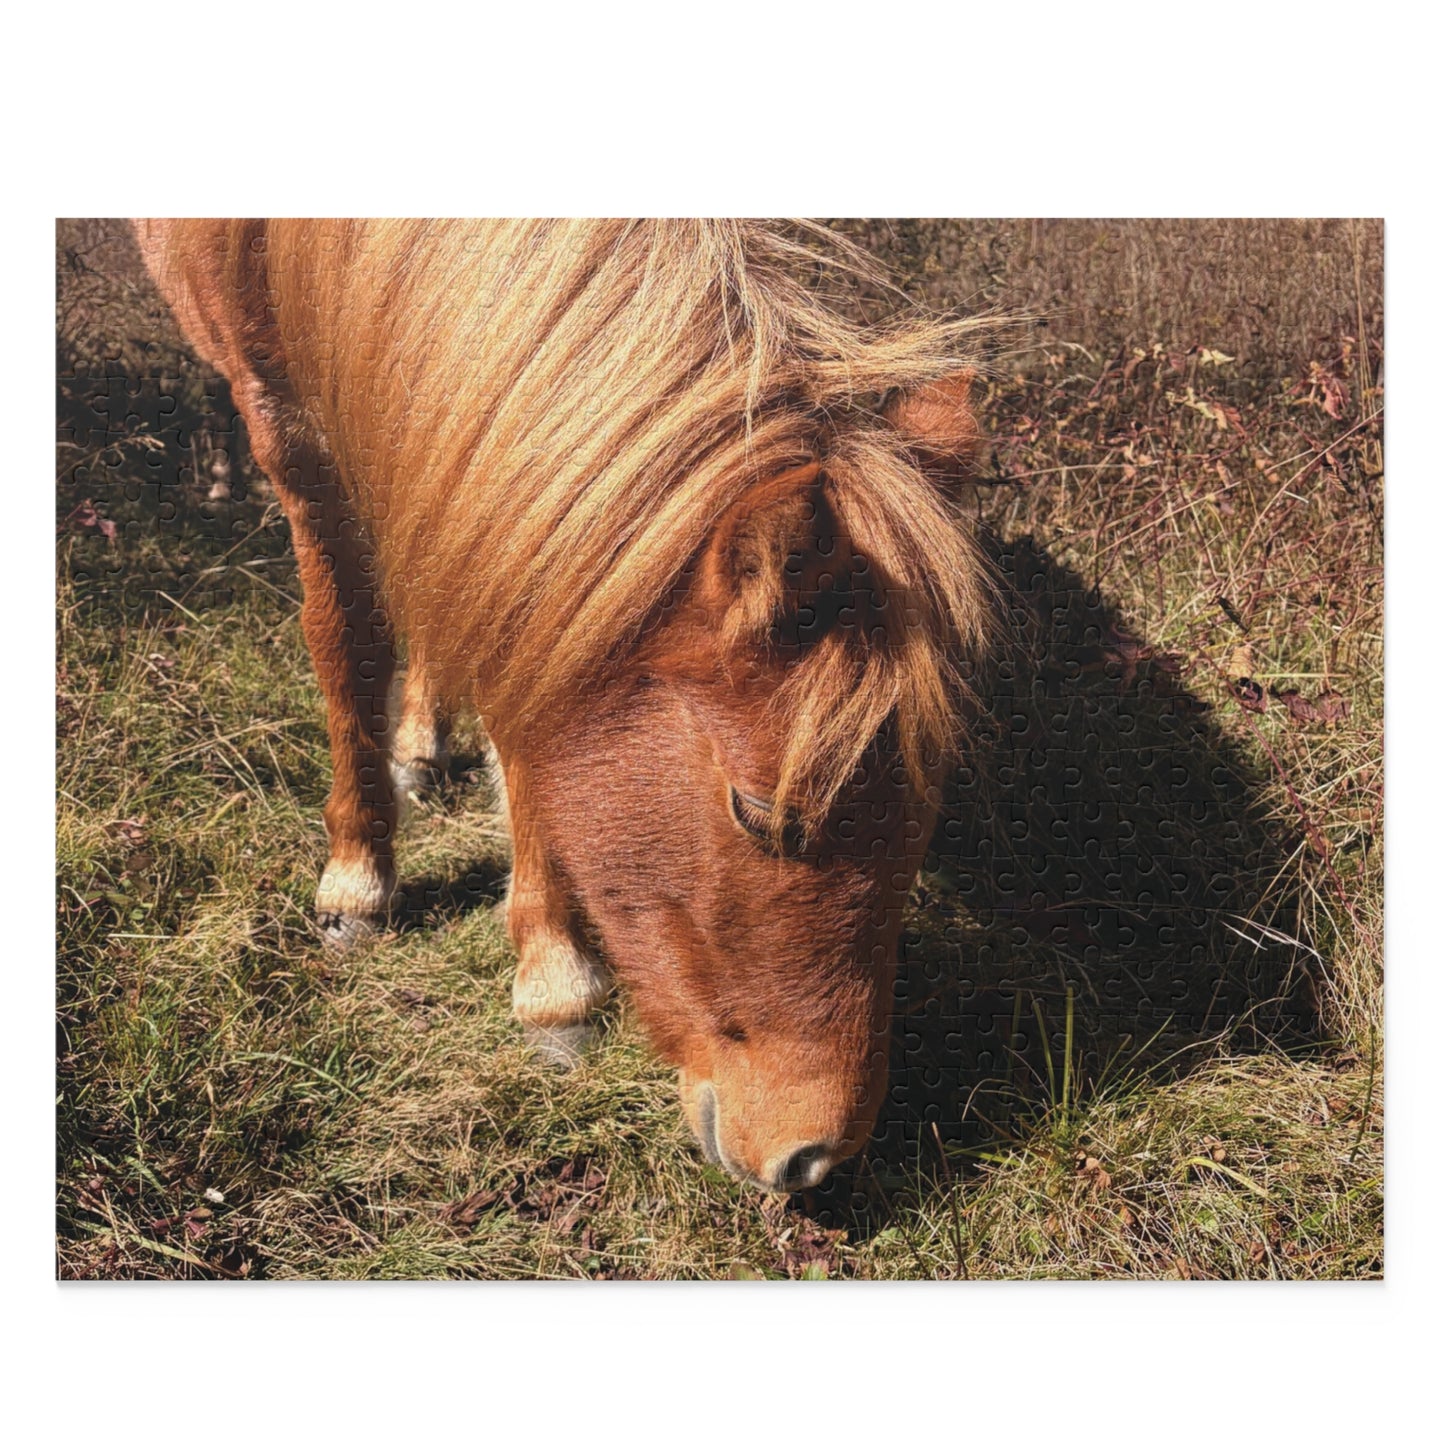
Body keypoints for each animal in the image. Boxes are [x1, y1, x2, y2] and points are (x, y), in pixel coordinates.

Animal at [134, 219, 995, 1193]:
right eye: (758, 812)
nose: (814, 1157)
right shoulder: (283, 419)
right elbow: (346, 640)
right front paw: (360, 878)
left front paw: (549, 972)